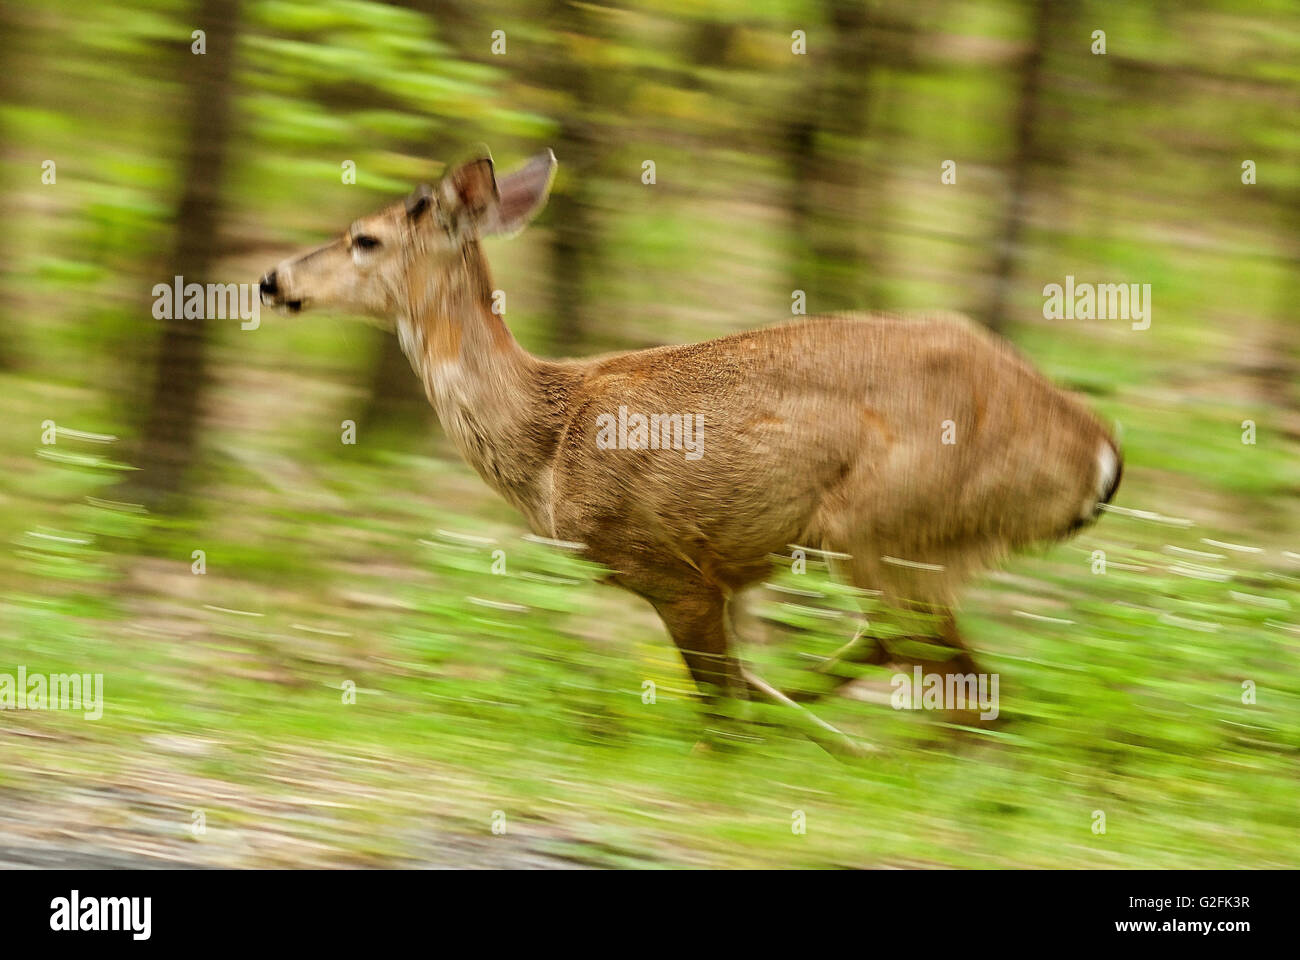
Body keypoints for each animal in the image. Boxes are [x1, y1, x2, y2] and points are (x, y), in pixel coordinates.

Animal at [259, 150, 1123, 757]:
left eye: (364, 237)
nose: (271, 278)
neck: (547, 441)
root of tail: (1097, 451)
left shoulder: (670, 567)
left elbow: (720, 712)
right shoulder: (732, 574)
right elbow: (739, 687)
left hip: (880, 524)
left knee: (969, 693)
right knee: (939, 675)